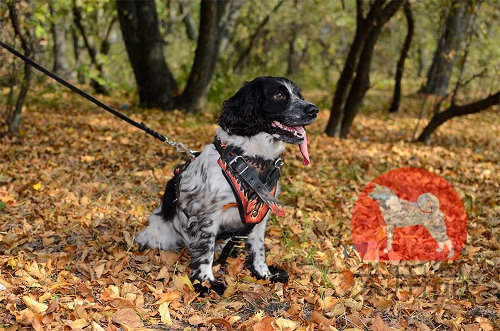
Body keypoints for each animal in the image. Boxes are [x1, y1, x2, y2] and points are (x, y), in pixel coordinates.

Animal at [135, 77, 318, 294]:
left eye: (299, 95)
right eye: (278, 95)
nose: (314, 109)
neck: (251, 160)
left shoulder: (261, 215)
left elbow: (258, 248)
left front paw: (263, 274)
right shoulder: (208, 215)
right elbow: (206, 251)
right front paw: (205, 282)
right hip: (160, 234)